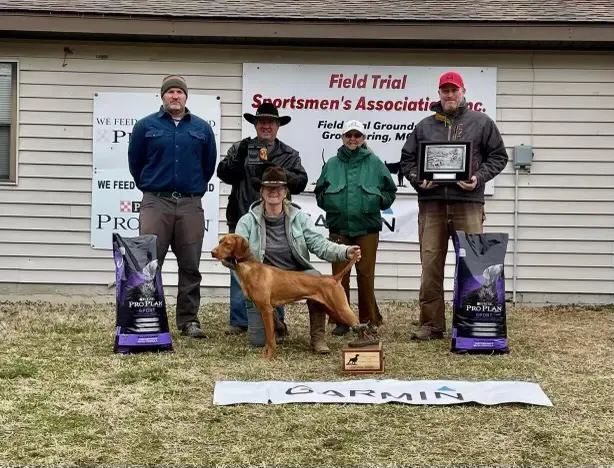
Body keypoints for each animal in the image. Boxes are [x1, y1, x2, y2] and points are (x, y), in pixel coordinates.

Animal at [212, 233, 366, 358]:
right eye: (220, 241)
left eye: (227, 243)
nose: (212, 252)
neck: (250, 267)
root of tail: (334, 278)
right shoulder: (265, 310)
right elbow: (270, 333)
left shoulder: (266, 309)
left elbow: (270, 337)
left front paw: (269, 356)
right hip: (332, 309)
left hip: (342, 308)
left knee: (361, 328)